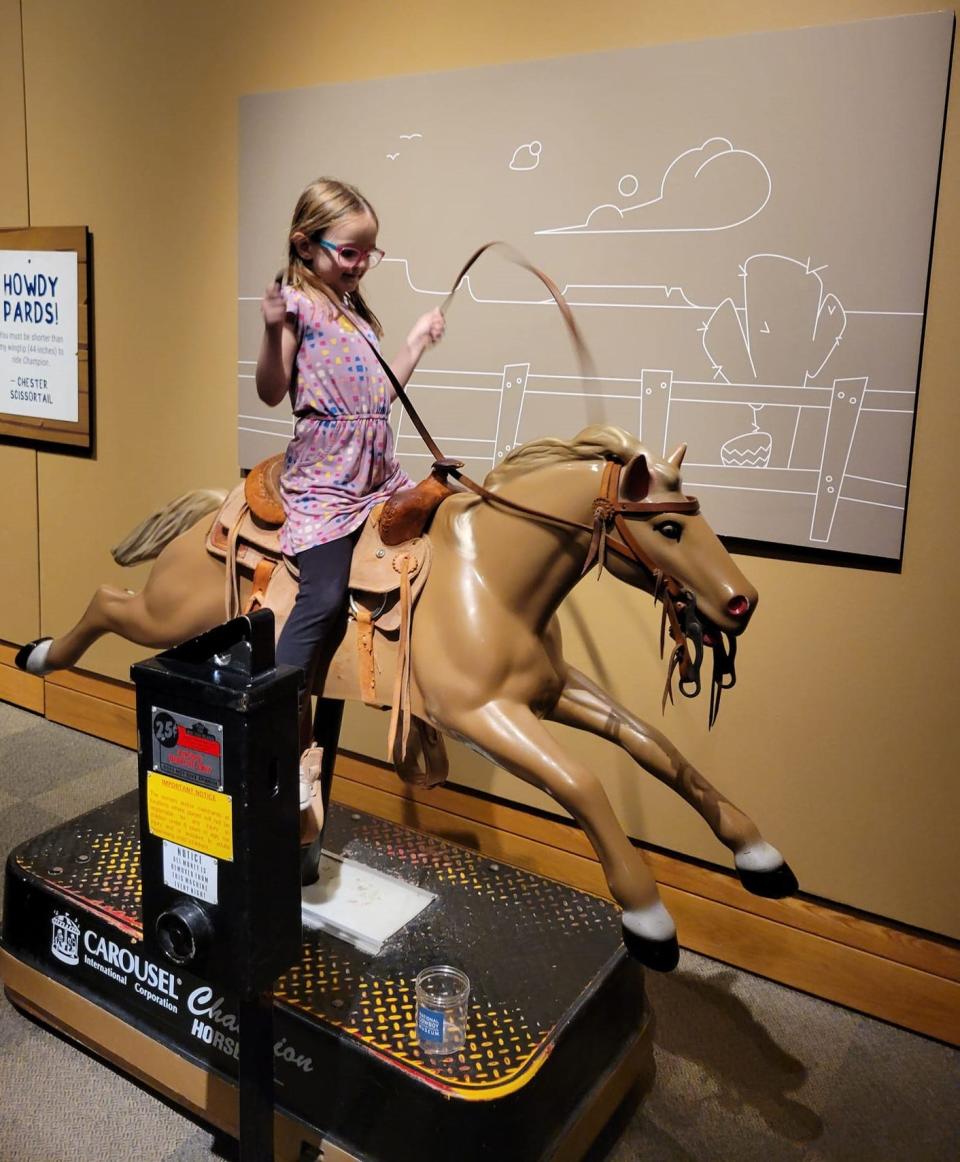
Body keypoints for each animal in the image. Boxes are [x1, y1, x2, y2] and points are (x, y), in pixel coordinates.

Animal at [16, 427, 794, 971]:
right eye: (668, 526)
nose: (743, 602)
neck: (491, 582)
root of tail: (216, 504)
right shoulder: (486, 718)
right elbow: (582, 783)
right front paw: (650, 921)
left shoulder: (549, 693)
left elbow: (650, 745)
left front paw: (758, 854)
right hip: (167, 616)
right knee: (107, 599)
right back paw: (41, 654)